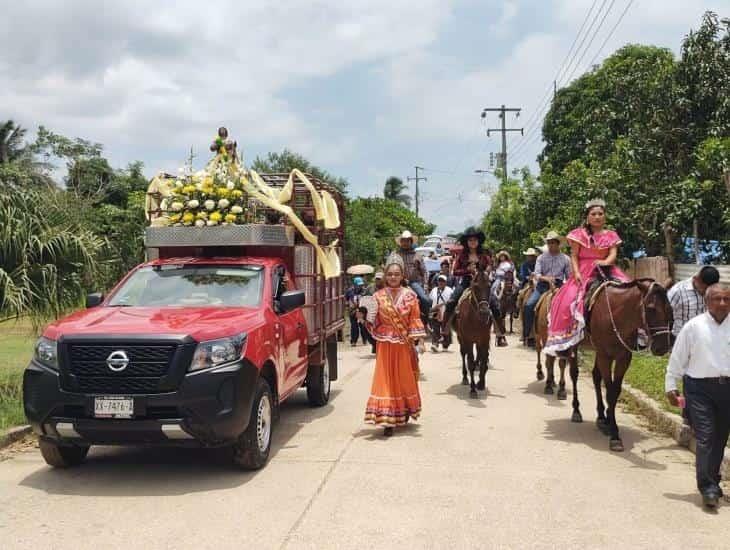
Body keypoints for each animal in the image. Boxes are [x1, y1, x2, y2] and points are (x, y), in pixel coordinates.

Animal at [452, 268, 492, 396]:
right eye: (476, 287)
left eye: (489, 286)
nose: (484, 312)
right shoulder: (468, 340)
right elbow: (470, 362)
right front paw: (473, 389)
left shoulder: (484, 339)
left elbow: (483, 360)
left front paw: (481, 383)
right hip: (461, 339)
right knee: (463, 354)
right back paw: (465, 378)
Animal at [564, 280, 672, 452]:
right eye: (651, 308)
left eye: (669, 308)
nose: (662, 347)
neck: (616, 315)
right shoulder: (605, 357)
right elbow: (609, 391)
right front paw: (614, 434)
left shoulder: (624, 358)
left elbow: (615, 391)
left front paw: (609, 421)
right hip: (577, 346)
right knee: (574, 374)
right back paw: (576, 411)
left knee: (595, 377)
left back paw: (601, 417)